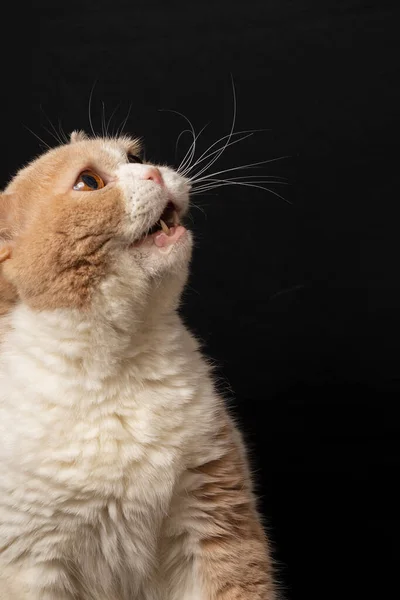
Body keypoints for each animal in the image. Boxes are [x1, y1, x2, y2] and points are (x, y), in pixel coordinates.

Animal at [0, 132, 278, 600]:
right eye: (89, 182)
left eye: (135, 156)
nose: (153, 173)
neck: (120, 360)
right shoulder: (32, 563)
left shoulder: (215, 520)